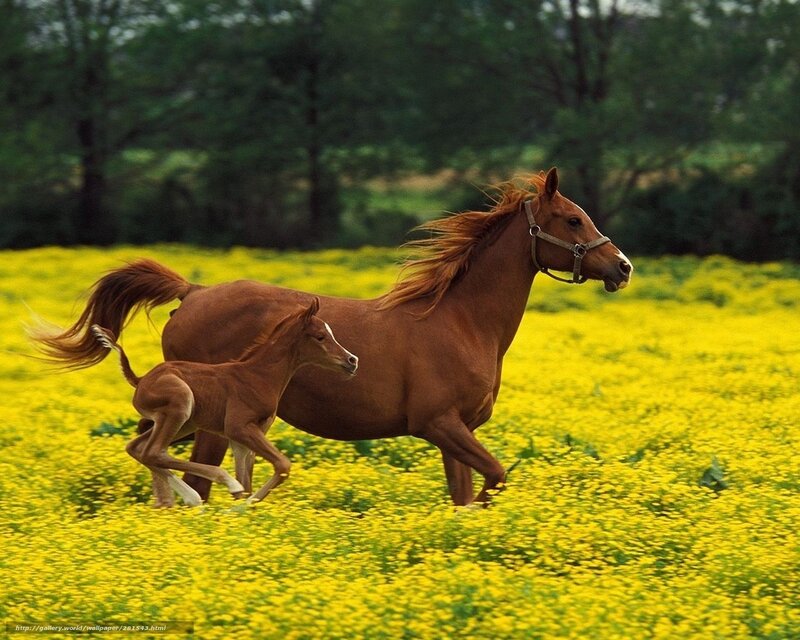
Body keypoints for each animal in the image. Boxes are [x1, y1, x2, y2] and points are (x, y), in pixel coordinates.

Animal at [91, 297, 358, 507]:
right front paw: (241, 506)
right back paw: (215, 487)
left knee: (139, 448)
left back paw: (188, 498)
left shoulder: (244, 436)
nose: (352, 360)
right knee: (154, 451)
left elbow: (249, 480)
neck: (258, 376)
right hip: (180, 404)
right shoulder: (238, 427)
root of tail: (140, 380)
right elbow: (282, 465)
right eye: (320, 336)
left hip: (184, 422)